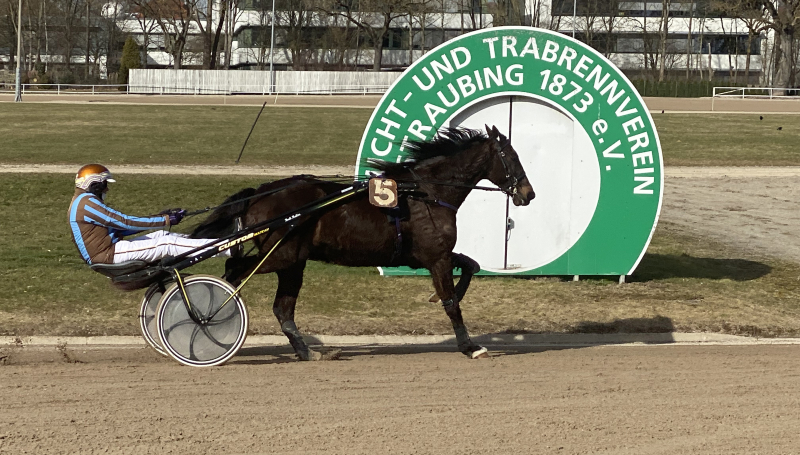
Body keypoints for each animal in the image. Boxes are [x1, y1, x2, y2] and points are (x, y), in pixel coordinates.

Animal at [191, 124, 536, 360]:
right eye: (512, 157)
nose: (528, 193)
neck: (426, 192)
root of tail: (259, 194)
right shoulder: (435, 256)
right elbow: (452, 302)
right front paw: (469, 345)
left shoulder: (428, 256)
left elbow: (470, 265)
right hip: (282, 255)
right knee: (234, 268)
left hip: (293, 262)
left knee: (282, 309)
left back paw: (307, 351)